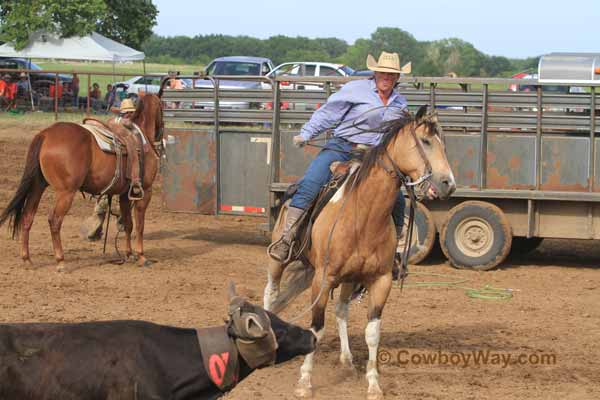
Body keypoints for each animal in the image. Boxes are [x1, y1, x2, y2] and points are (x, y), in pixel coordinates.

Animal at [0, 93, 164, 272]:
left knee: (27, 216)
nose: (161, 135)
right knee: (54, 220)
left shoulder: (124, 195)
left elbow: (128, 224)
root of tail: (45, 134)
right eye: (162, 108)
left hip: (38, 186)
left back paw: (27, 259)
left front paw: (129, 254)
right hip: (66, 192)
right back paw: (60, 261)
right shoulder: (145, 191)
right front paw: (141, 256)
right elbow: (140, 225)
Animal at [262, 106, 454, 400]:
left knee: (341, 310)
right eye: (426, 141)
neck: (362, 214)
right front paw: (305, 381)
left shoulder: (381, 280)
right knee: (270, 293)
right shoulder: (323, 278)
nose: (448, 183)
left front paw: (373, 384)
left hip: (349, 278)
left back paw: (346, 360)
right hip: (280, 259)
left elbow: (372, 332)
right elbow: (316, 328)